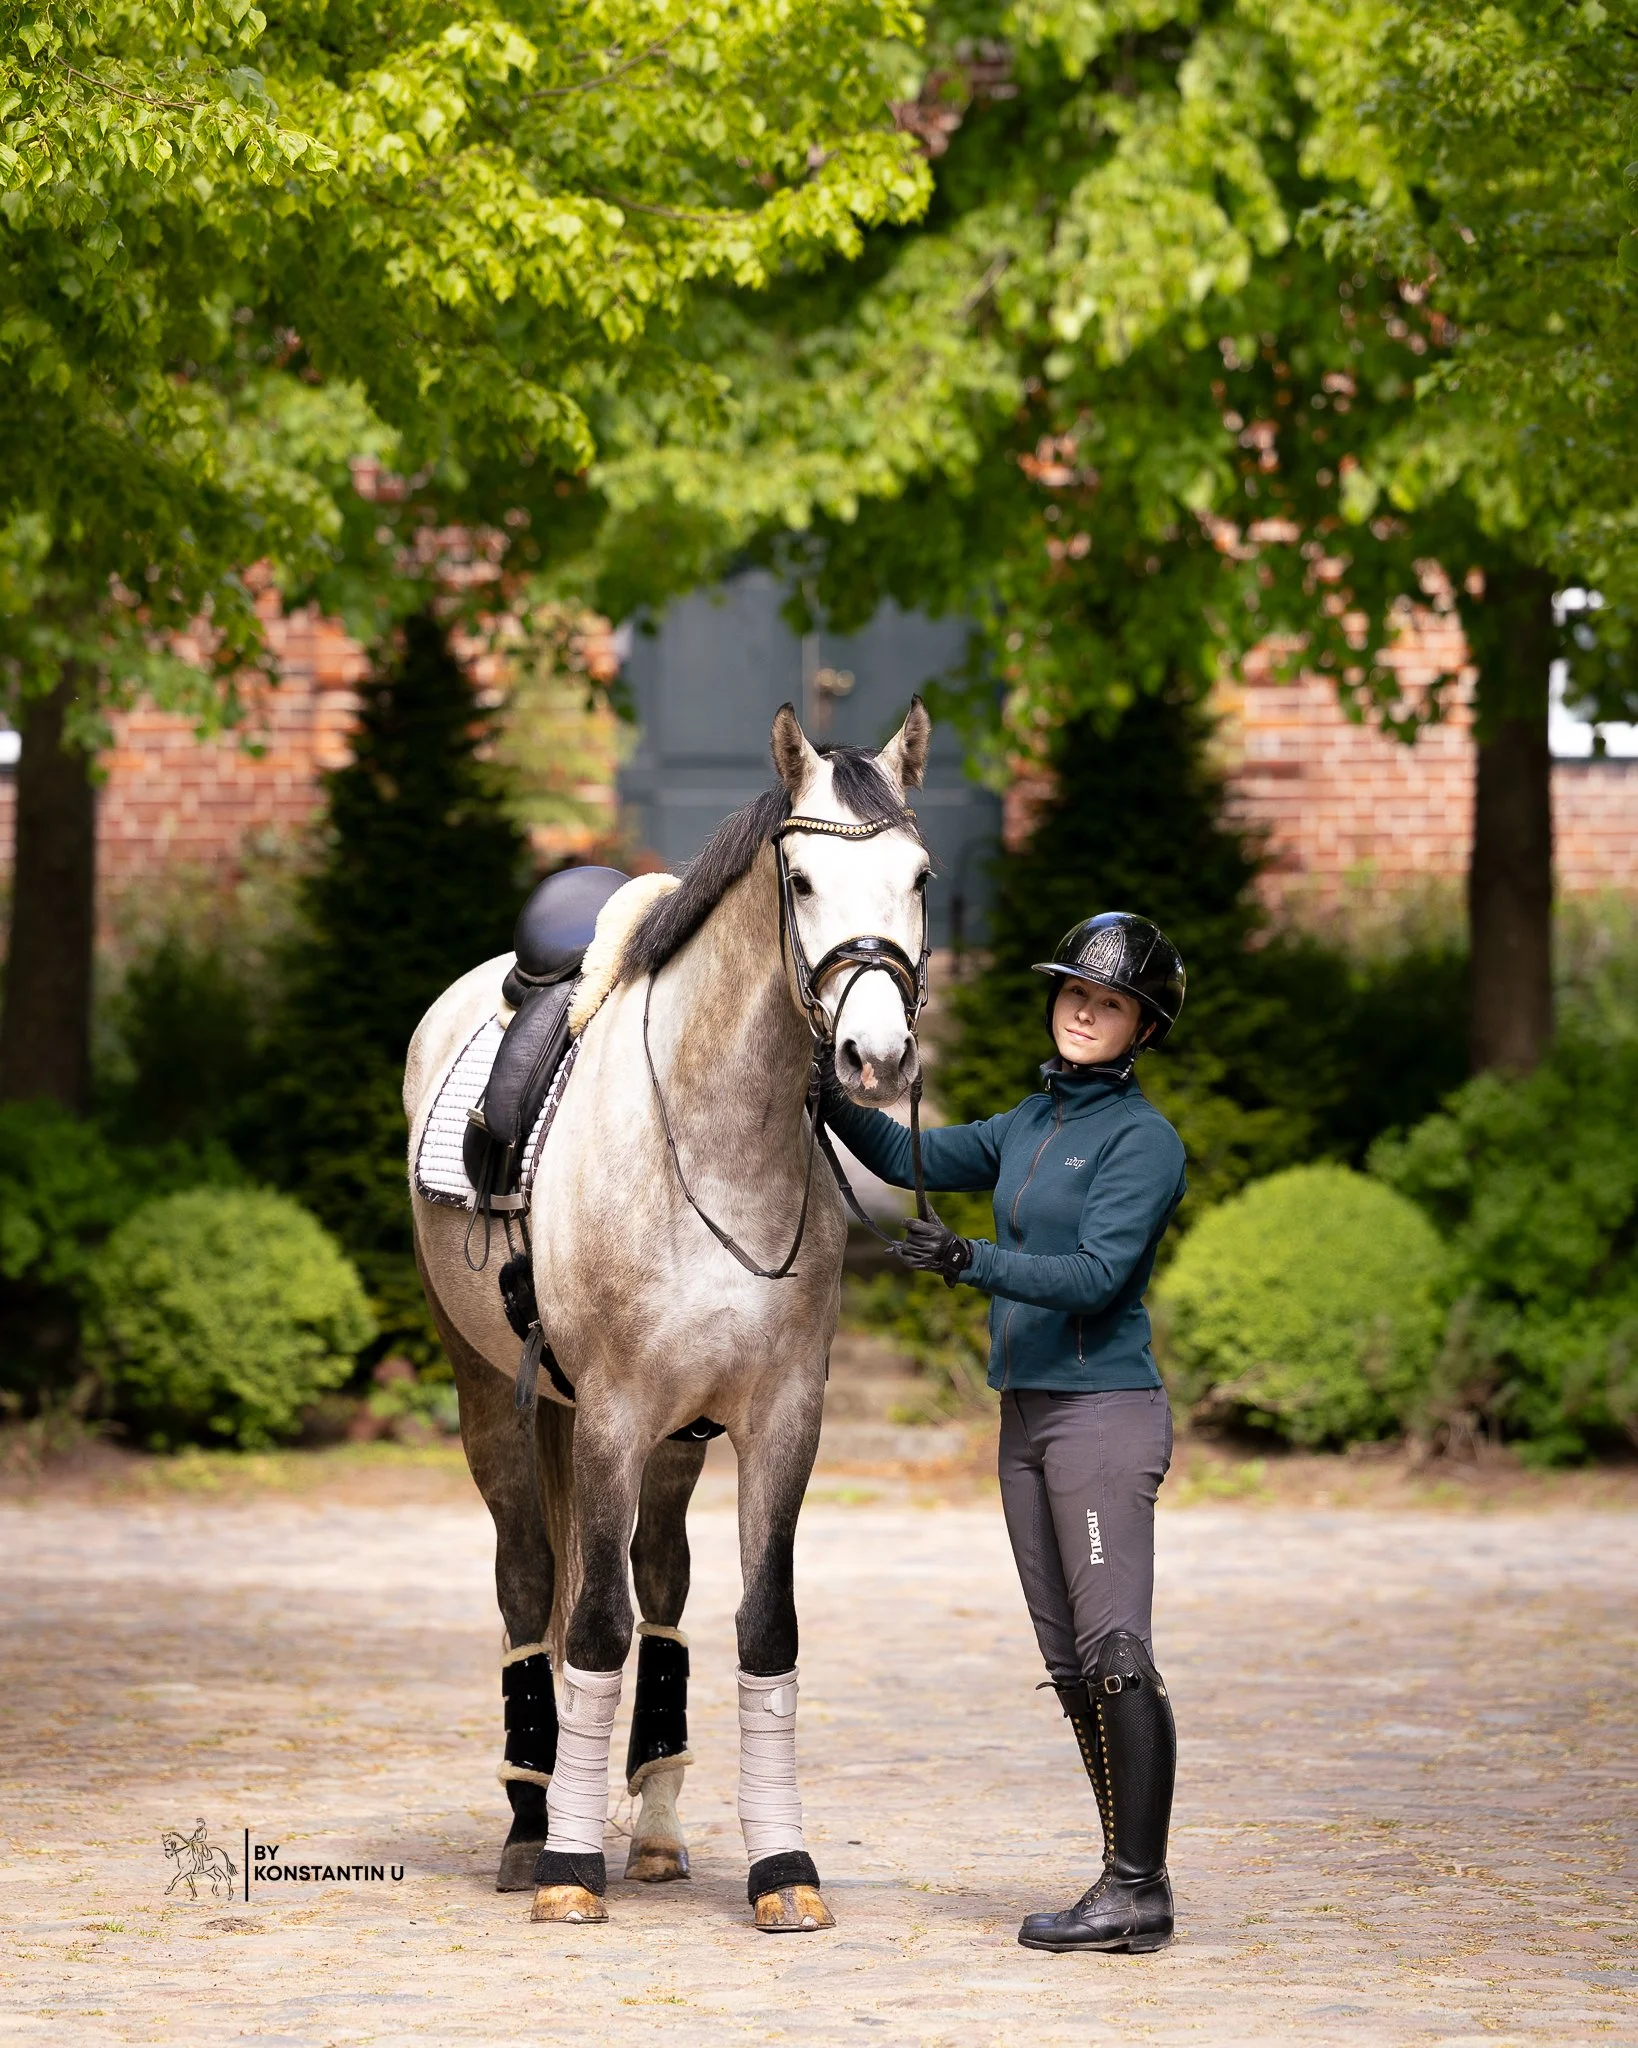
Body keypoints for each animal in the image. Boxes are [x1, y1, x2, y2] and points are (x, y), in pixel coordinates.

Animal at [406, 699, 932, 1932]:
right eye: (801, 879)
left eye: (921, 876)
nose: (876, 1056)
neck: (714, 1137)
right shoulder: (607, 1416)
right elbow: (590, 1623)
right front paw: (566, 1867)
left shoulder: (780, 1420)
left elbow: (761, 1625)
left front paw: (783, 1868)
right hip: (492, 1400)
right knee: (532, 1583)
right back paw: (531, 1822)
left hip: (678, 1445)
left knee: (662, 1587)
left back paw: (647, 1825)